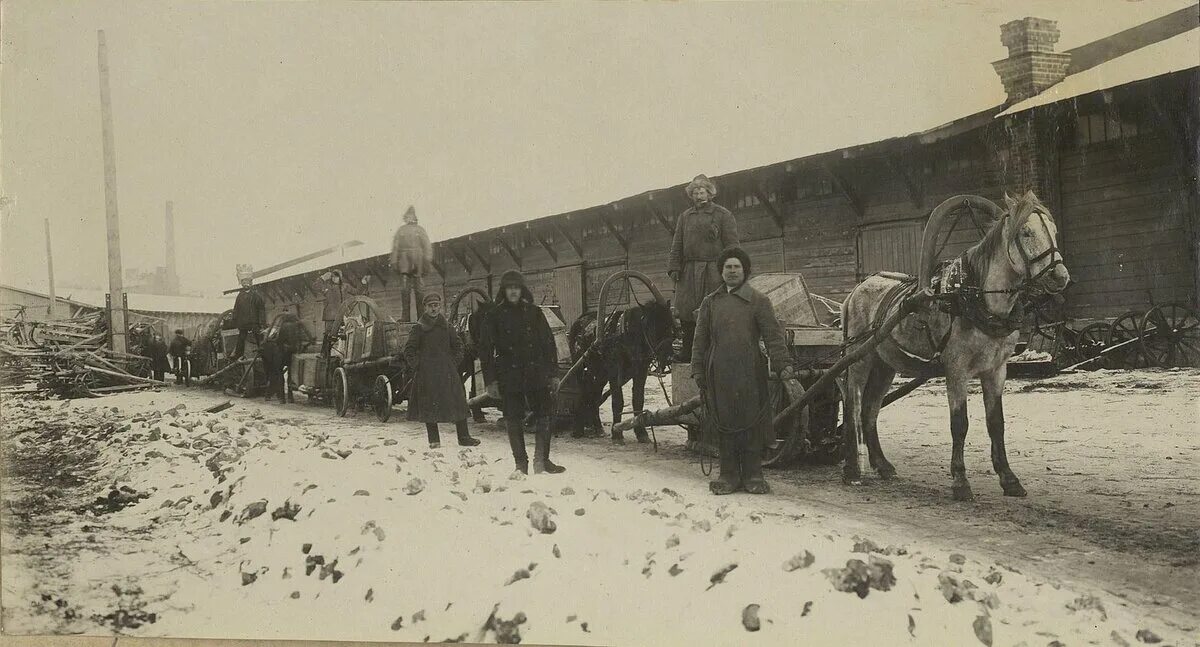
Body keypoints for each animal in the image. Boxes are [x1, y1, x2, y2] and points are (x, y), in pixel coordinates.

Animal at [564, 295, 676, 444]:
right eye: (653, 328)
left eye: (670, 326)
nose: (669, 357)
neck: (627, 335)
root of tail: (580, 320)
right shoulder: (614, 371)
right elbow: (617, 401)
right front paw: (616, 433)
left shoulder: (641, 371)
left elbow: (638, 399)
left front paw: (641, 432)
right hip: (581, 368)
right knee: (583, 391)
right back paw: (578, 428)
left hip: (599, 372)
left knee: (593, 393)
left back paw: (597, 427)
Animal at [844, 189, 1070, 504]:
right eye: (1025, 232)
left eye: (1054, 230)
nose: (1060, 276)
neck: (971, 297)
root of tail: (856, 290)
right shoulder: (956, 369)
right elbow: (959, 423)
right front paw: (960, 481)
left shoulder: (996, 370)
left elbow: (996, 423)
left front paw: (1009, 479)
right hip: (859, 360)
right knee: (852, 407)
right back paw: (852, 470)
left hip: (884, 365)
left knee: (870, 410)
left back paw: (883, 465)